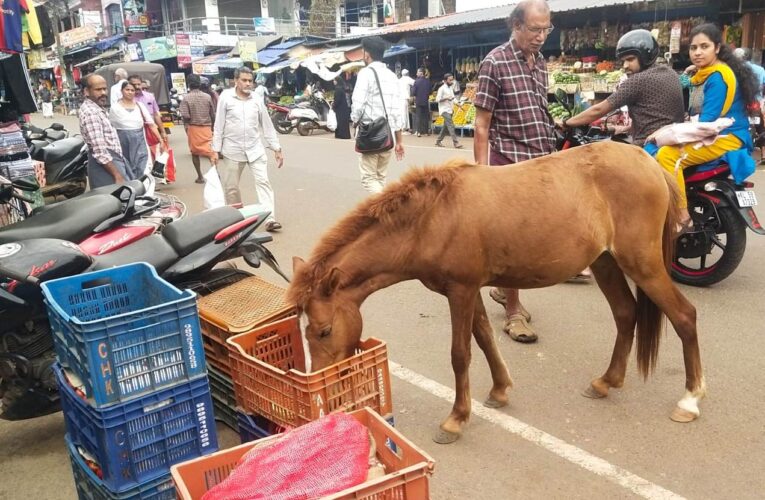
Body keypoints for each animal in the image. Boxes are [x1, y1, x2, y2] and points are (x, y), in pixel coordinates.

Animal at [286, 142, 704, 446]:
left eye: (323, 331)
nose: (320, 390)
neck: (431, 218)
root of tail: (648, 163)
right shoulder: (468, 290)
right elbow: (485, 338)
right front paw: (500, 391)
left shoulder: (460, 290)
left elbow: (460, 354)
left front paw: (456, 419)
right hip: (605, 262)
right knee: (625, 313)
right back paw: (606, 381)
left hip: (642, 264)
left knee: (684, 317)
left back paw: (690, 399)